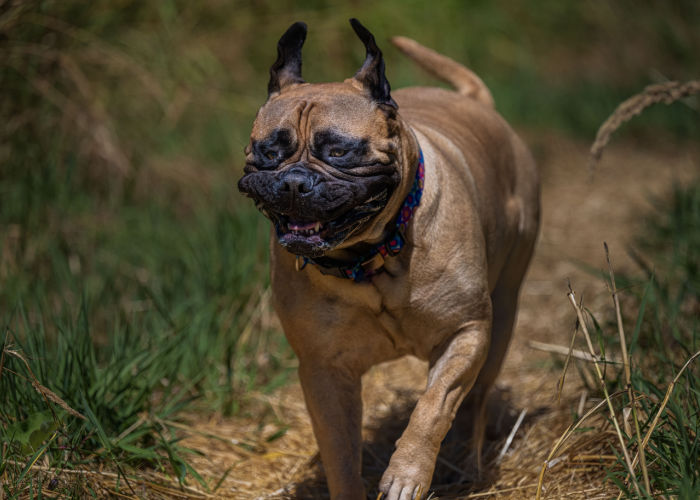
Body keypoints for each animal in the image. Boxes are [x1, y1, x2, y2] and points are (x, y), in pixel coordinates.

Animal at [238, 17, 540, 498]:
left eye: (338, 151)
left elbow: (433, 406)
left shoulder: (466, 333)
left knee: (475, 398)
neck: (370, 258)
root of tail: (475, 101)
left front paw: (407, 474)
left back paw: (467, 464)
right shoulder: (324, 371)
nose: (293, 183)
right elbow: (340, 452)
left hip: (503, 314)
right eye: (270, 152)